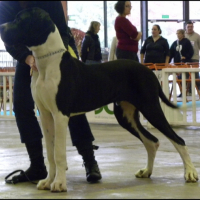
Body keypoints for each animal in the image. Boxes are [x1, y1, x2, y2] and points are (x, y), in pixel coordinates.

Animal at [0, 7, 198, 192]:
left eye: (20, 19)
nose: (2, 27)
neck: (47, 64)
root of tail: (148, 70)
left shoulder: (60, 115)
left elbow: (58, 153)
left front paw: (59, 184)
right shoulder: (46, 115)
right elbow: (50, 152)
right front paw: (48, 181)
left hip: (151, 108)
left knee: (178, 140)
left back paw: (190, 173)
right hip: (126, 115)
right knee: (151, 141)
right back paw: (146, 171)